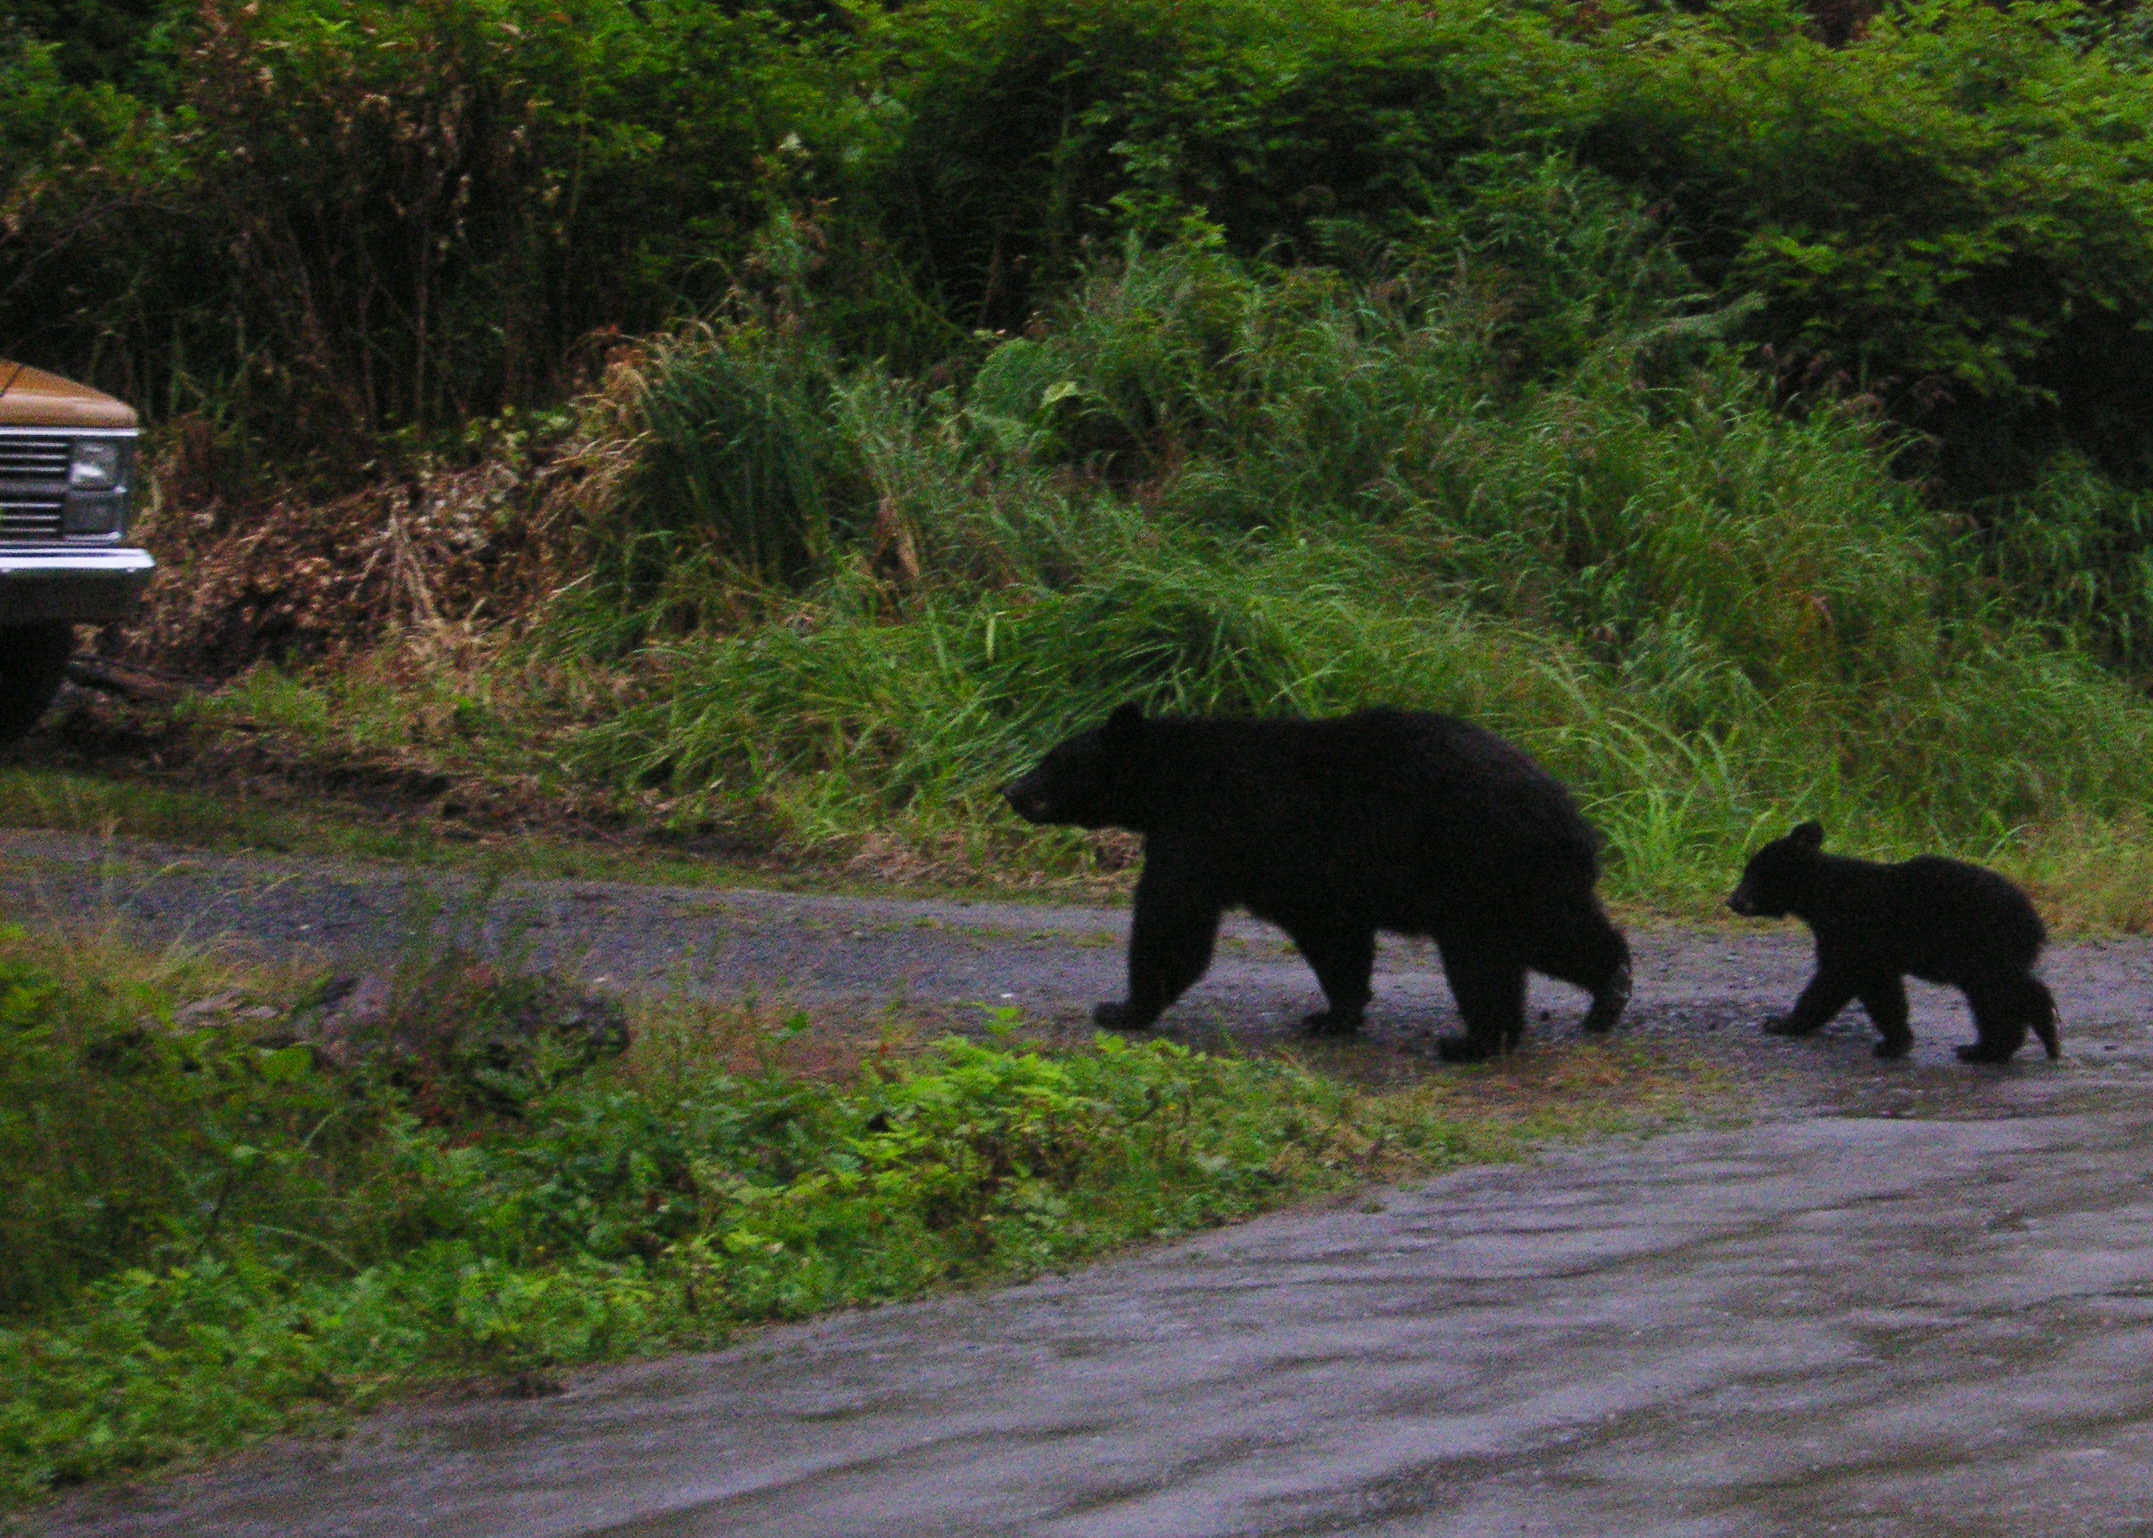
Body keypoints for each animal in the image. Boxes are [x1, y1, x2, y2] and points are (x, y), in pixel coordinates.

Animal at [998, 702, 1619, 1055]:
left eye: (1051, 760)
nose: (1011, 791)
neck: (1170, 779)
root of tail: (1570, 816)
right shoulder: (1308, 877)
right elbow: (1333, 937)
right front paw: (1333, 1014)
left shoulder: (1204, 830)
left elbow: (1173, 919)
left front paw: (1122, 1009)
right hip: (1526, 878)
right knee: (1561, 935)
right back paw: (1608, 994)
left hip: (1478, 866)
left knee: (1484, 957)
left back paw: (1474, 1040)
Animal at [1722, 822, 2058, 1059]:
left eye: (1753, 874)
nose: (1733, 901)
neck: (1823, 893)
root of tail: (2033, 922)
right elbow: (1873, 986)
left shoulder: (1852, 933)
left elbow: (1843, 979)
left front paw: (1782, 1023)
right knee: (2008, 992)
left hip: (1981, 946)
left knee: (1998, 994)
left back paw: (1991, 1048)